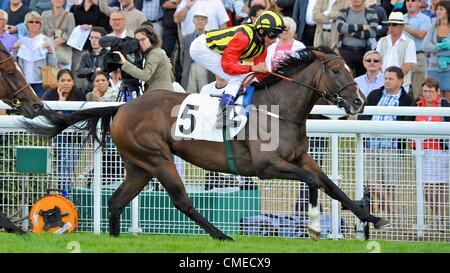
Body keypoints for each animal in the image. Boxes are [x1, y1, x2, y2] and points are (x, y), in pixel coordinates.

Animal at [22, 47, 388, 240]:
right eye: (337, 71)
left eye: (351, 69)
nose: (358, 102)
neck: (280, 109)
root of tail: (123, 107)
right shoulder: (268, 166)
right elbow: (314, 182)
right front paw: (312, 226)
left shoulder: (301, 159)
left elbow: (331, 186)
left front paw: (372, 218)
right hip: (158, 158)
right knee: (182, 201)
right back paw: (221, 236)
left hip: (139, 165)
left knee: (116, 200)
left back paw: (114, 238)